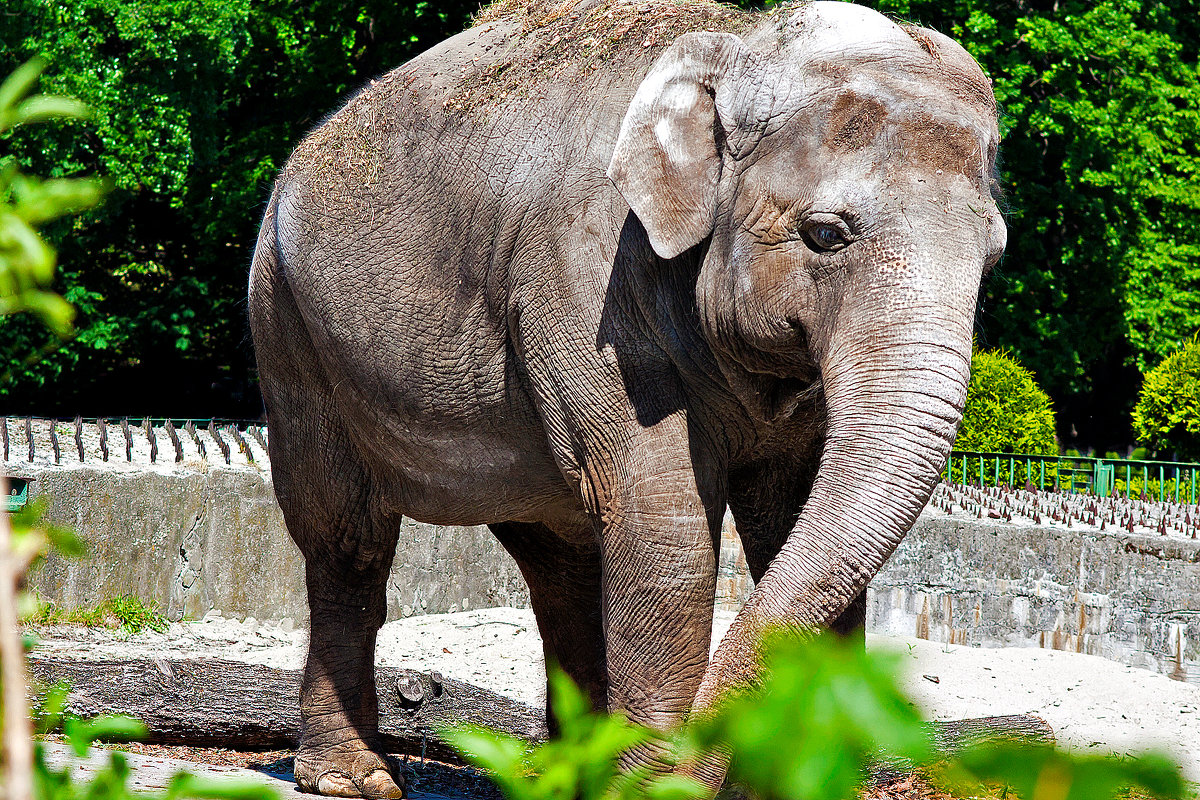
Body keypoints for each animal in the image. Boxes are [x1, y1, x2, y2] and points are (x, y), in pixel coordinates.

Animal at [248, 1, 1008, 796]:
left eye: (993, 257)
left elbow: (793, 526)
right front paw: (652, 784)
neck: (737, 46)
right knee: (346, 540)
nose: (700, 756)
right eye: (825, 235)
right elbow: (665, 535)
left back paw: (561, 776)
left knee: (561, 561)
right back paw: (351, 778)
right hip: (288, 328)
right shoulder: (586, 282)